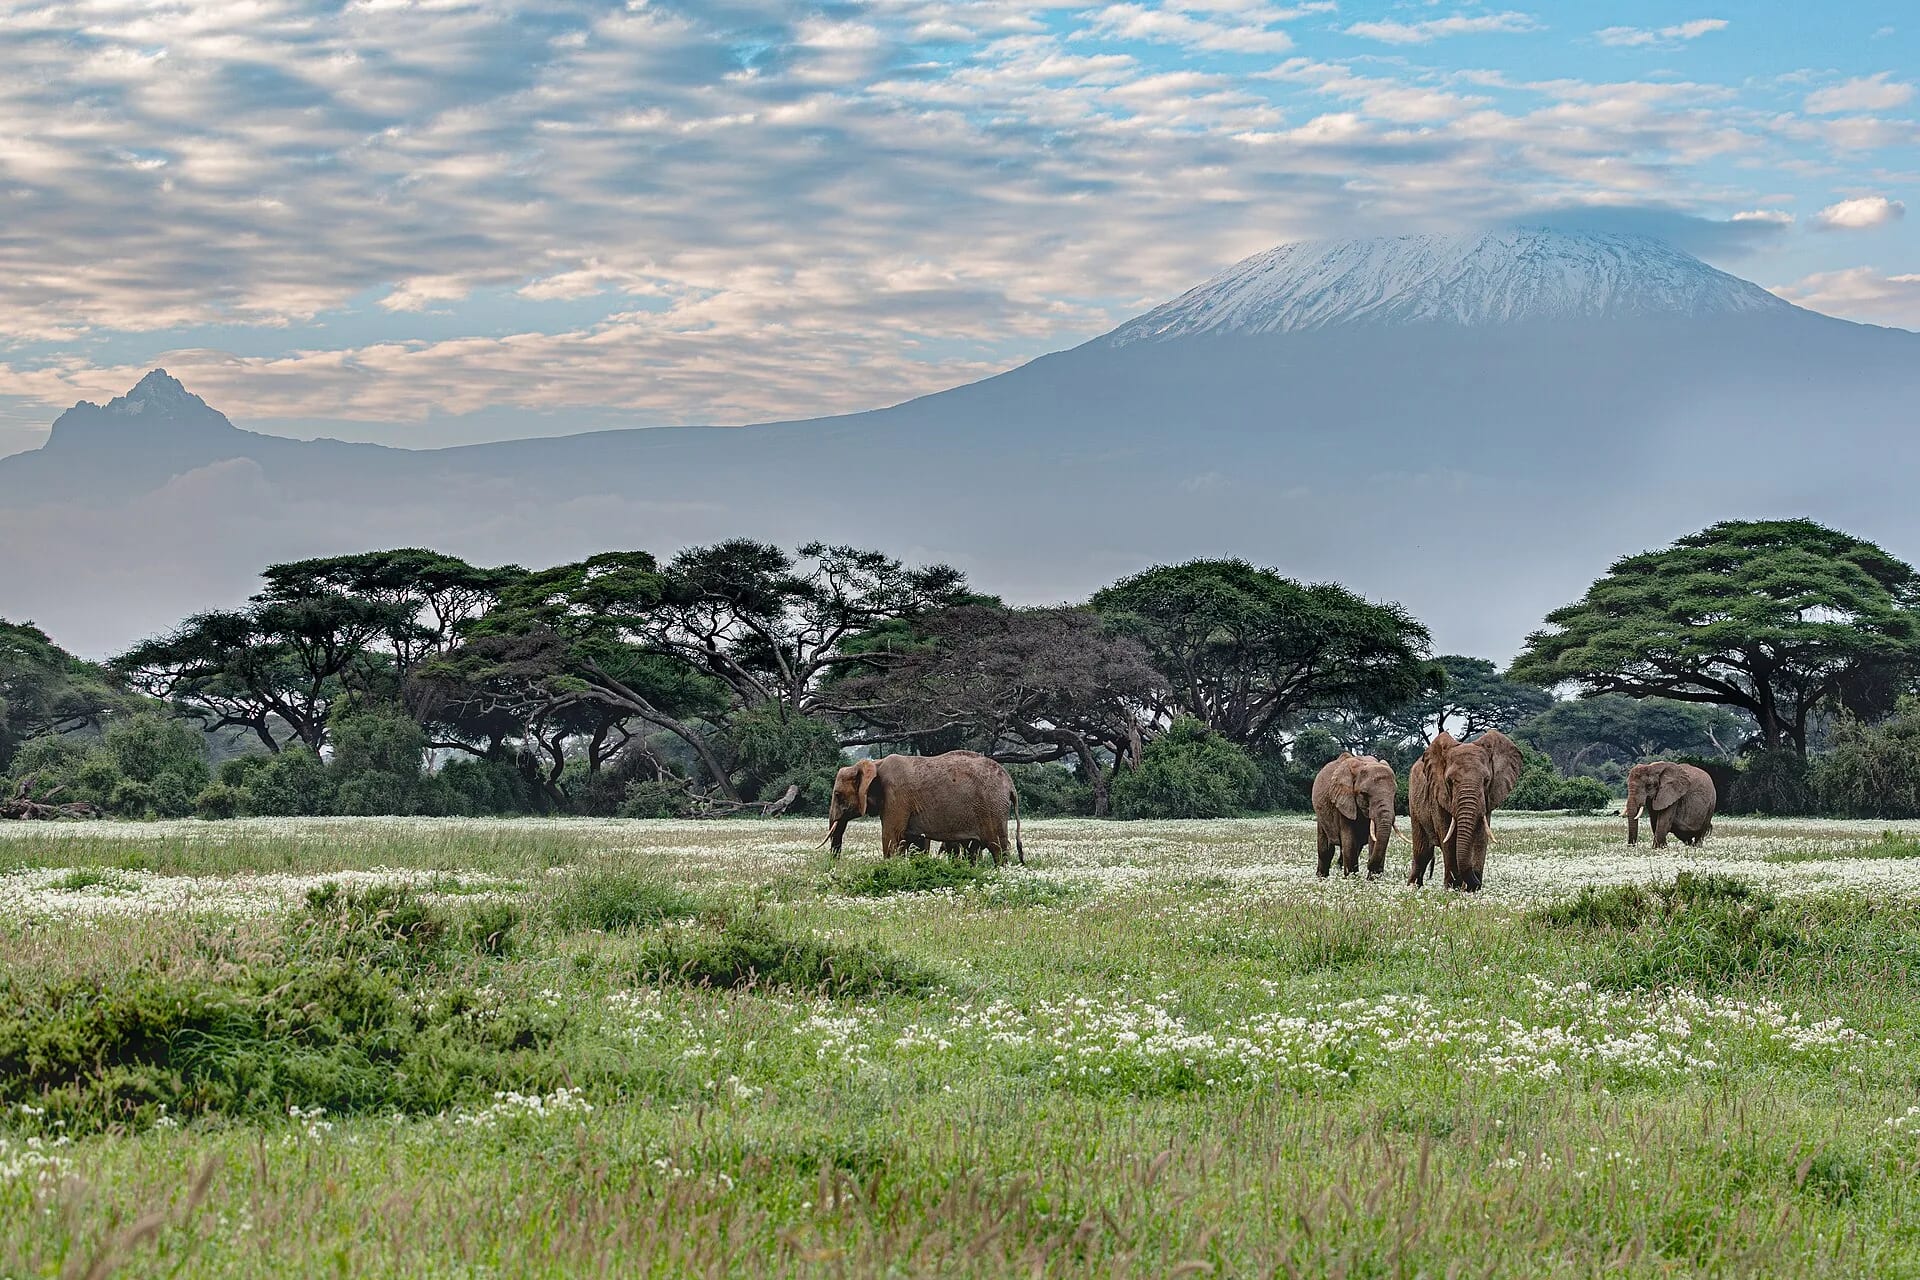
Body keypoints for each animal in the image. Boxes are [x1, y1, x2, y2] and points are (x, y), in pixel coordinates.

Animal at [825, 751, 1026, 865]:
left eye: (837, 795)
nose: (835, 866)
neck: (875, 764)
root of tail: (1011, 785)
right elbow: (915, 841)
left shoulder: (896, 797)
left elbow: (891, 837)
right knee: (974, 849)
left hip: (992, 807)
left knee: (997, 847)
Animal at [1408, 729, 1524, 892]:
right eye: (1449, 781)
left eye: (1486, 781)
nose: (1475, 883)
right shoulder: (1438, 795)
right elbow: (1448, 839)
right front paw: (1452, 888)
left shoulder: (1487, 798)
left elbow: (1481, 838)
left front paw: (1471, 889)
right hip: (1414, 803)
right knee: (1422, 853)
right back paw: (1412, 888)